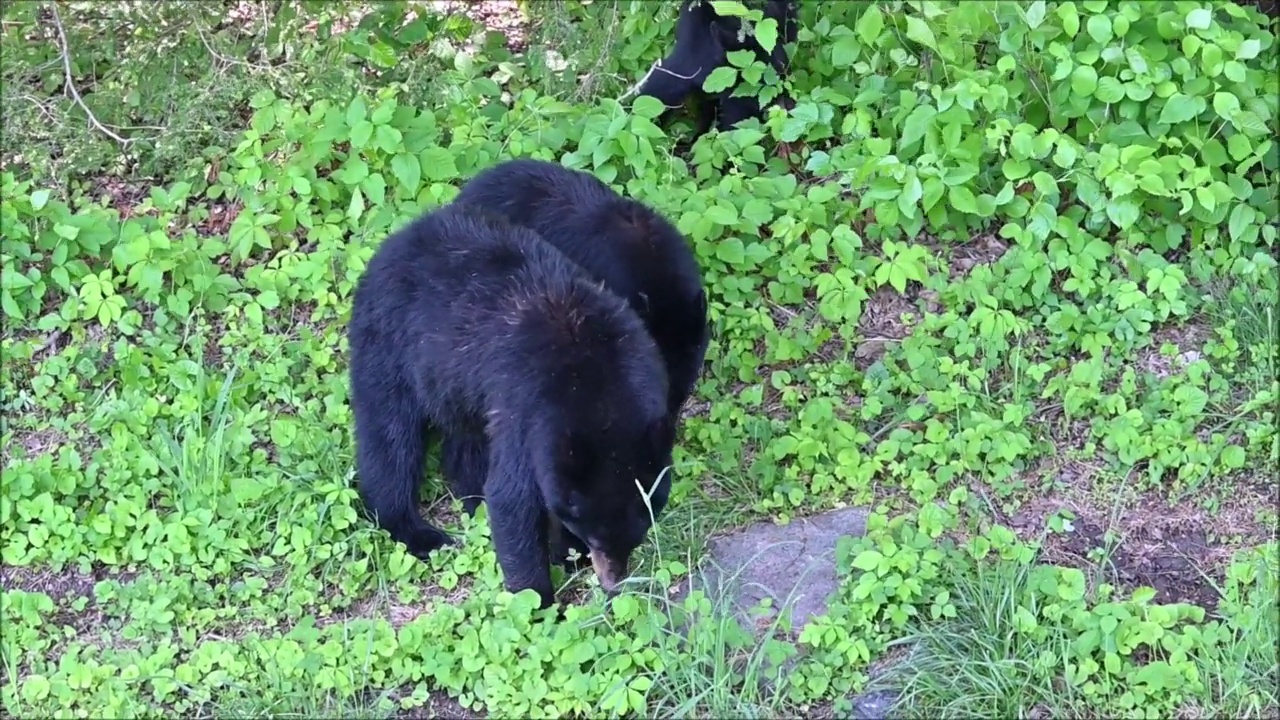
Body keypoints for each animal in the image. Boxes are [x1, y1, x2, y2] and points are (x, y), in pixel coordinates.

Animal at [345, 199, 675, 604]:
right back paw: (417, 531)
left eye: (638, 533)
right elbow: (512, 499)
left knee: (464, 442)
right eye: (595, 535)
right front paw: (542, 601)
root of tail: (399, 236)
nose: (613, 583)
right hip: (390, 343)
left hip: (457, 387)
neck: (601, 390)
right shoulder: (529, 409)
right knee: (389, 437)